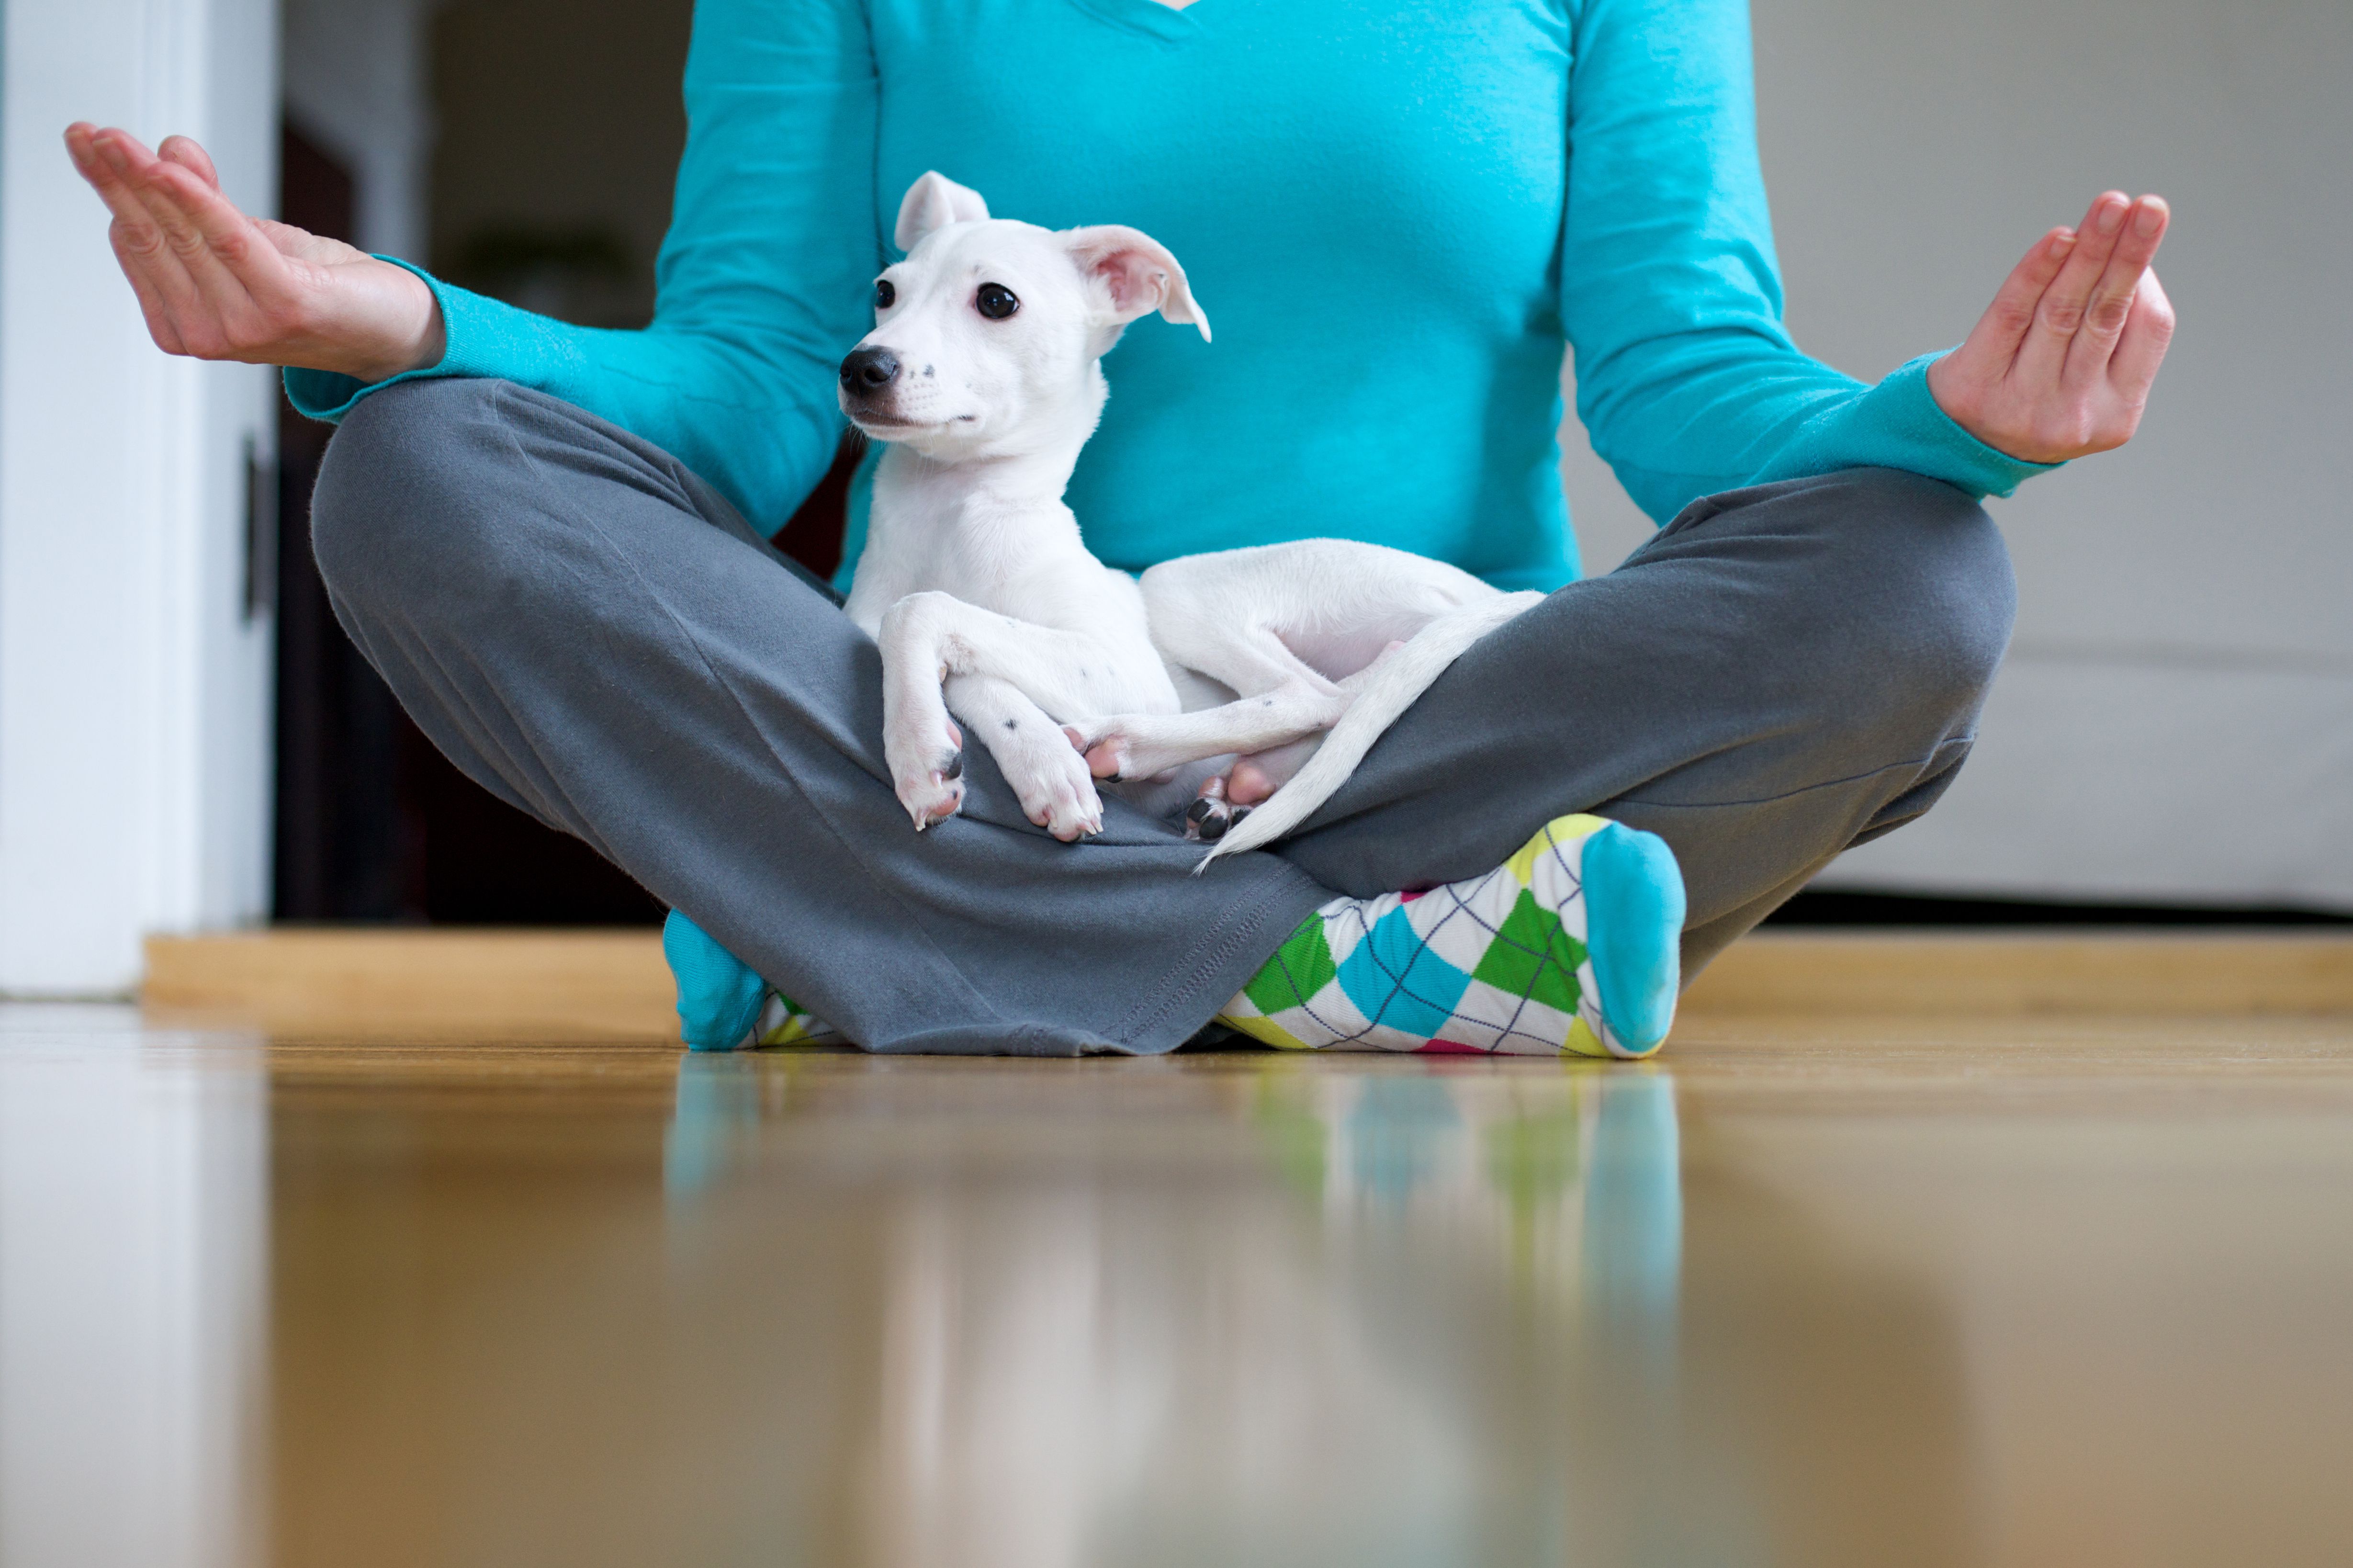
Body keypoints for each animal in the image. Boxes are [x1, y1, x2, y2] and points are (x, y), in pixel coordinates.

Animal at [837, 176, 1534, 861]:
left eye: (996, 301)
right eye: (884, 292)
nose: (861, 368)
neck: (952, 514)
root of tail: (1507, 596)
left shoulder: (1126, 666)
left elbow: (922, 610)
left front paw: (928, 741)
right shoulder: (873, 622)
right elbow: (953, 652)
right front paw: (990, 751)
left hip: (1174, 585)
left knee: (1318, 695)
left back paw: (1131, 742)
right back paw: (1241, 786)